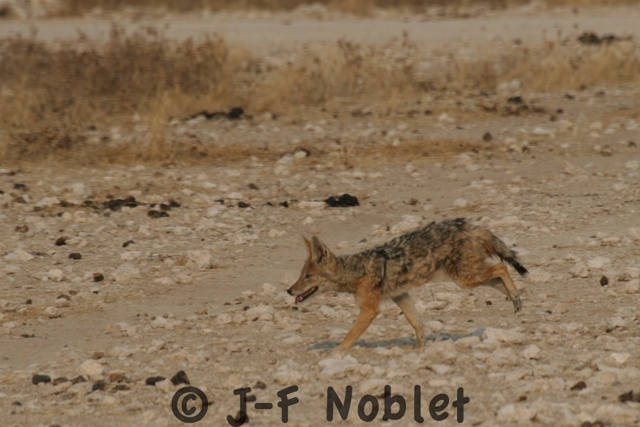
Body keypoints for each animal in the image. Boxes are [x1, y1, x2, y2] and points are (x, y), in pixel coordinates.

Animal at [287, 218, 527, 351]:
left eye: (307, 276)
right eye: (301, 275)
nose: (289, 290)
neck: (356, 271)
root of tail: (469, 225)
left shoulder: (370, 309)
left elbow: (350, 335)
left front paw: (335, 353)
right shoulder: (400, 296)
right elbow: (417, 324)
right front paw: (420, 349)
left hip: (465, 278)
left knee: (502, 267)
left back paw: (516, 297)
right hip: (469, 278)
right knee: (499, 276)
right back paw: (515, 301)